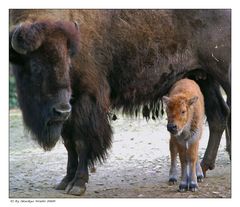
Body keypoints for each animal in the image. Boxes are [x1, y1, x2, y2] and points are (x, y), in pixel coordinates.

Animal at [9, 9, 231, 196]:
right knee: (218, 115)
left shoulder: (85, 102)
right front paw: (65, 181)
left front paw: (78, 184)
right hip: (203, 78)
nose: (62, 110)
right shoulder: (70, 112)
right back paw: (203, 168)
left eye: (68, 60)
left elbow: (81, 142)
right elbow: (69, 144)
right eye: (36, 65)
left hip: (223, 75)